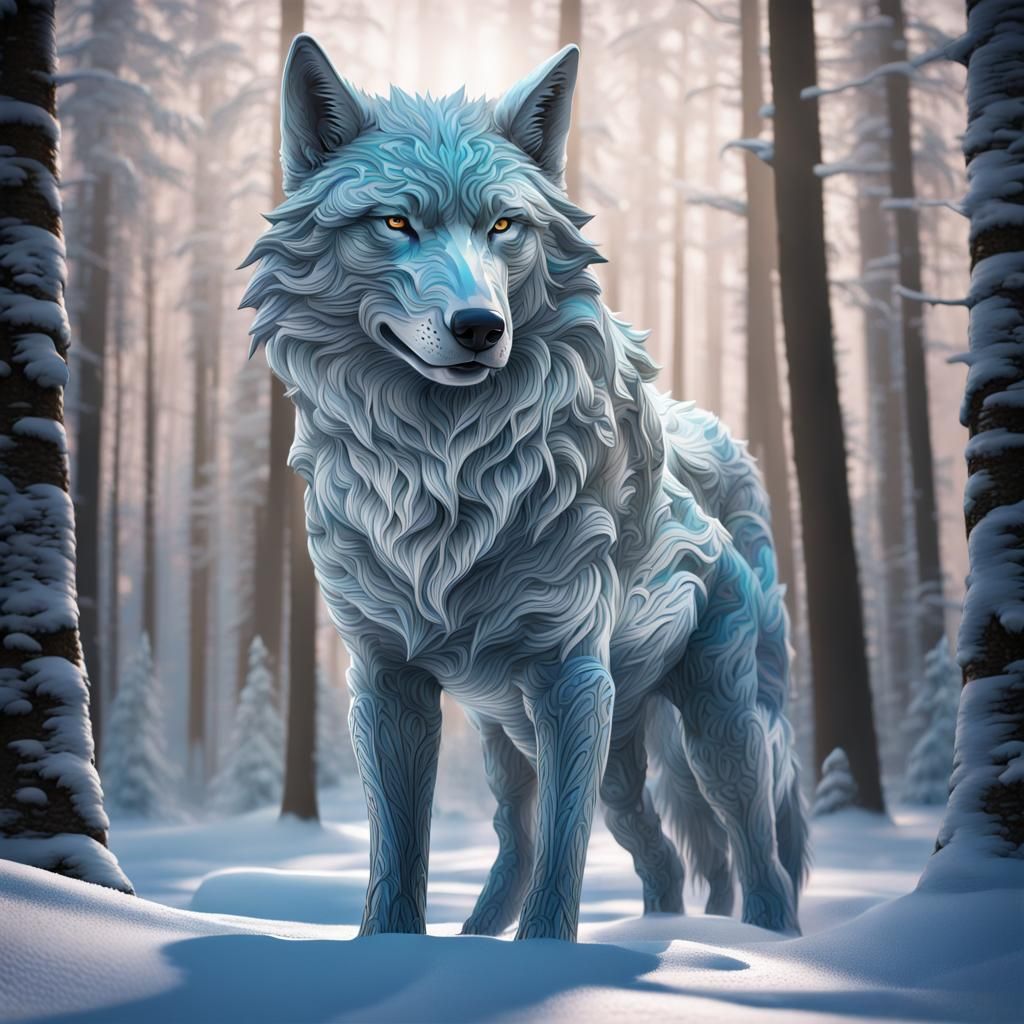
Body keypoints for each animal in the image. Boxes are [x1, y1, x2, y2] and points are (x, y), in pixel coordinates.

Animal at [242, 35, 808, 942]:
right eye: (396, 222)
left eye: (503, 224)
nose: (481, 326)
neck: (444, 473)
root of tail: (726, 441)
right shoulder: (388, 679)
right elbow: (400, 852)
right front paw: (385, 951)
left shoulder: (571, 678)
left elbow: (562, 865)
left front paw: (544, 957)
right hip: (533, 744)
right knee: (617, 851)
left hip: (715, 726)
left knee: (757, 854)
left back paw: (756, 944)